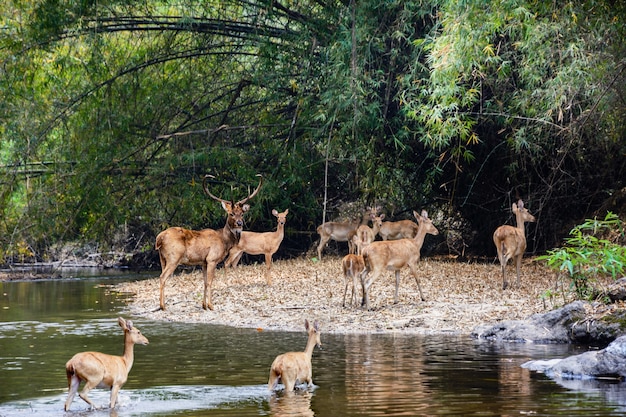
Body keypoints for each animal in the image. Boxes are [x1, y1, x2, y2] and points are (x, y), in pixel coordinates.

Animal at [158, 172, 264, 308]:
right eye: (231, 214)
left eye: (242, 213)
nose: (239, 223)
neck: (224, 241)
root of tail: (159, 238)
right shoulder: (212, 259)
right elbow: (210, 282)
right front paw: (211, 305)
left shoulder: (203, 262)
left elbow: (204, 283)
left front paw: (204, 305)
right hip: (173, 257)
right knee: (162, 277)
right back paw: (163, 306)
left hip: (162, 258)